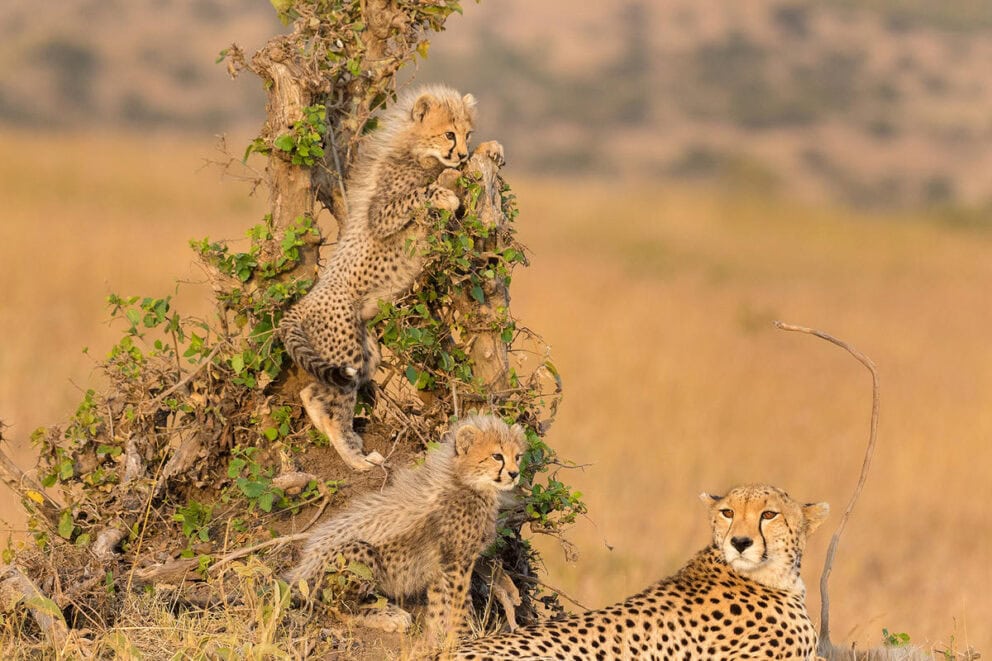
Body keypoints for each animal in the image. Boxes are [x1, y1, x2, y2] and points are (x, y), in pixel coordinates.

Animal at [279, 84, 505, 471]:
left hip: (364, 351)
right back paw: (356, 460)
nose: (461, 152)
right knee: (334, 407)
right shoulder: (381, 214)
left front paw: (488, 148)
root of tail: (302, 304)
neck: (415, 149)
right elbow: (419, 192)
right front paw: (443, 194)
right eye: (449, 134)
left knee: (312, 393)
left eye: (467, 133)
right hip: (346, 354)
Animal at [284, 414, 526, 648]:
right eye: (497, 456)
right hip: (358, 552)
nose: (514, 474)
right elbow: (460, 602)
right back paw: (389, 615)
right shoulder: (456, 561)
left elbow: (440, 605)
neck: (467, 482)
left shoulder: (440, 565)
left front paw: (438, 639)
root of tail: (302, 569)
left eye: (518, 456)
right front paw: (466, 636)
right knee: (337, 607)